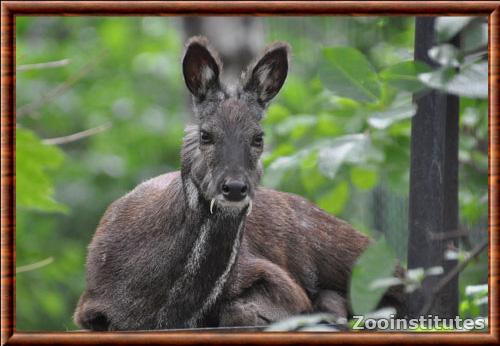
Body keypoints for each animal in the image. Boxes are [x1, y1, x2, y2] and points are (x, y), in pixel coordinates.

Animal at [74, 36, 404, 332]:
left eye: (258, 137)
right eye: (206, 134)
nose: (234, 187)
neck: (165, 309)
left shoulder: (275, 278)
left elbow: (242, 311)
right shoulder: (90, 308)